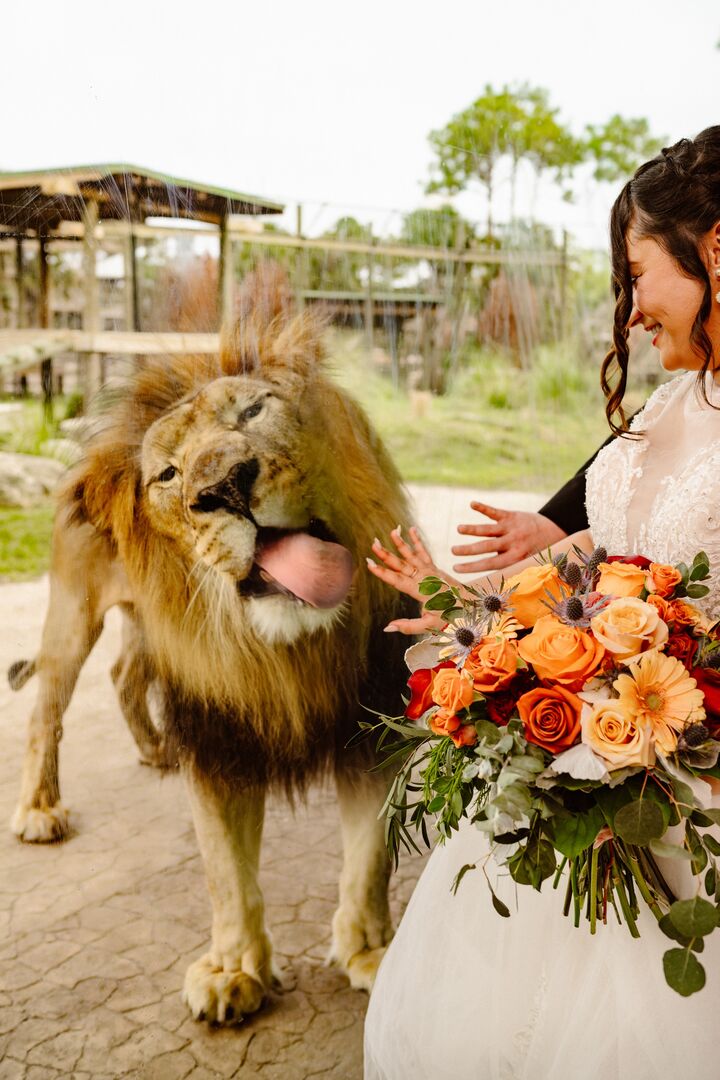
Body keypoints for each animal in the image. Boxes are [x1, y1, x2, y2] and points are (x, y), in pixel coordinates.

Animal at [9, 287, 415, 1023]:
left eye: (253, 412)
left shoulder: (369, 729)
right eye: (168, 474)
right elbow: (226, 870)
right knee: (46, 709)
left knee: (123, 675)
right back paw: (39, 810)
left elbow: (368, 858)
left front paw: (371, 952)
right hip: (72, 614)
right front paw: (232, 971)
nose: (224, 485)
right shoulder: (216, 734)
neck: (287, 649)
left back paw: (153, 750)